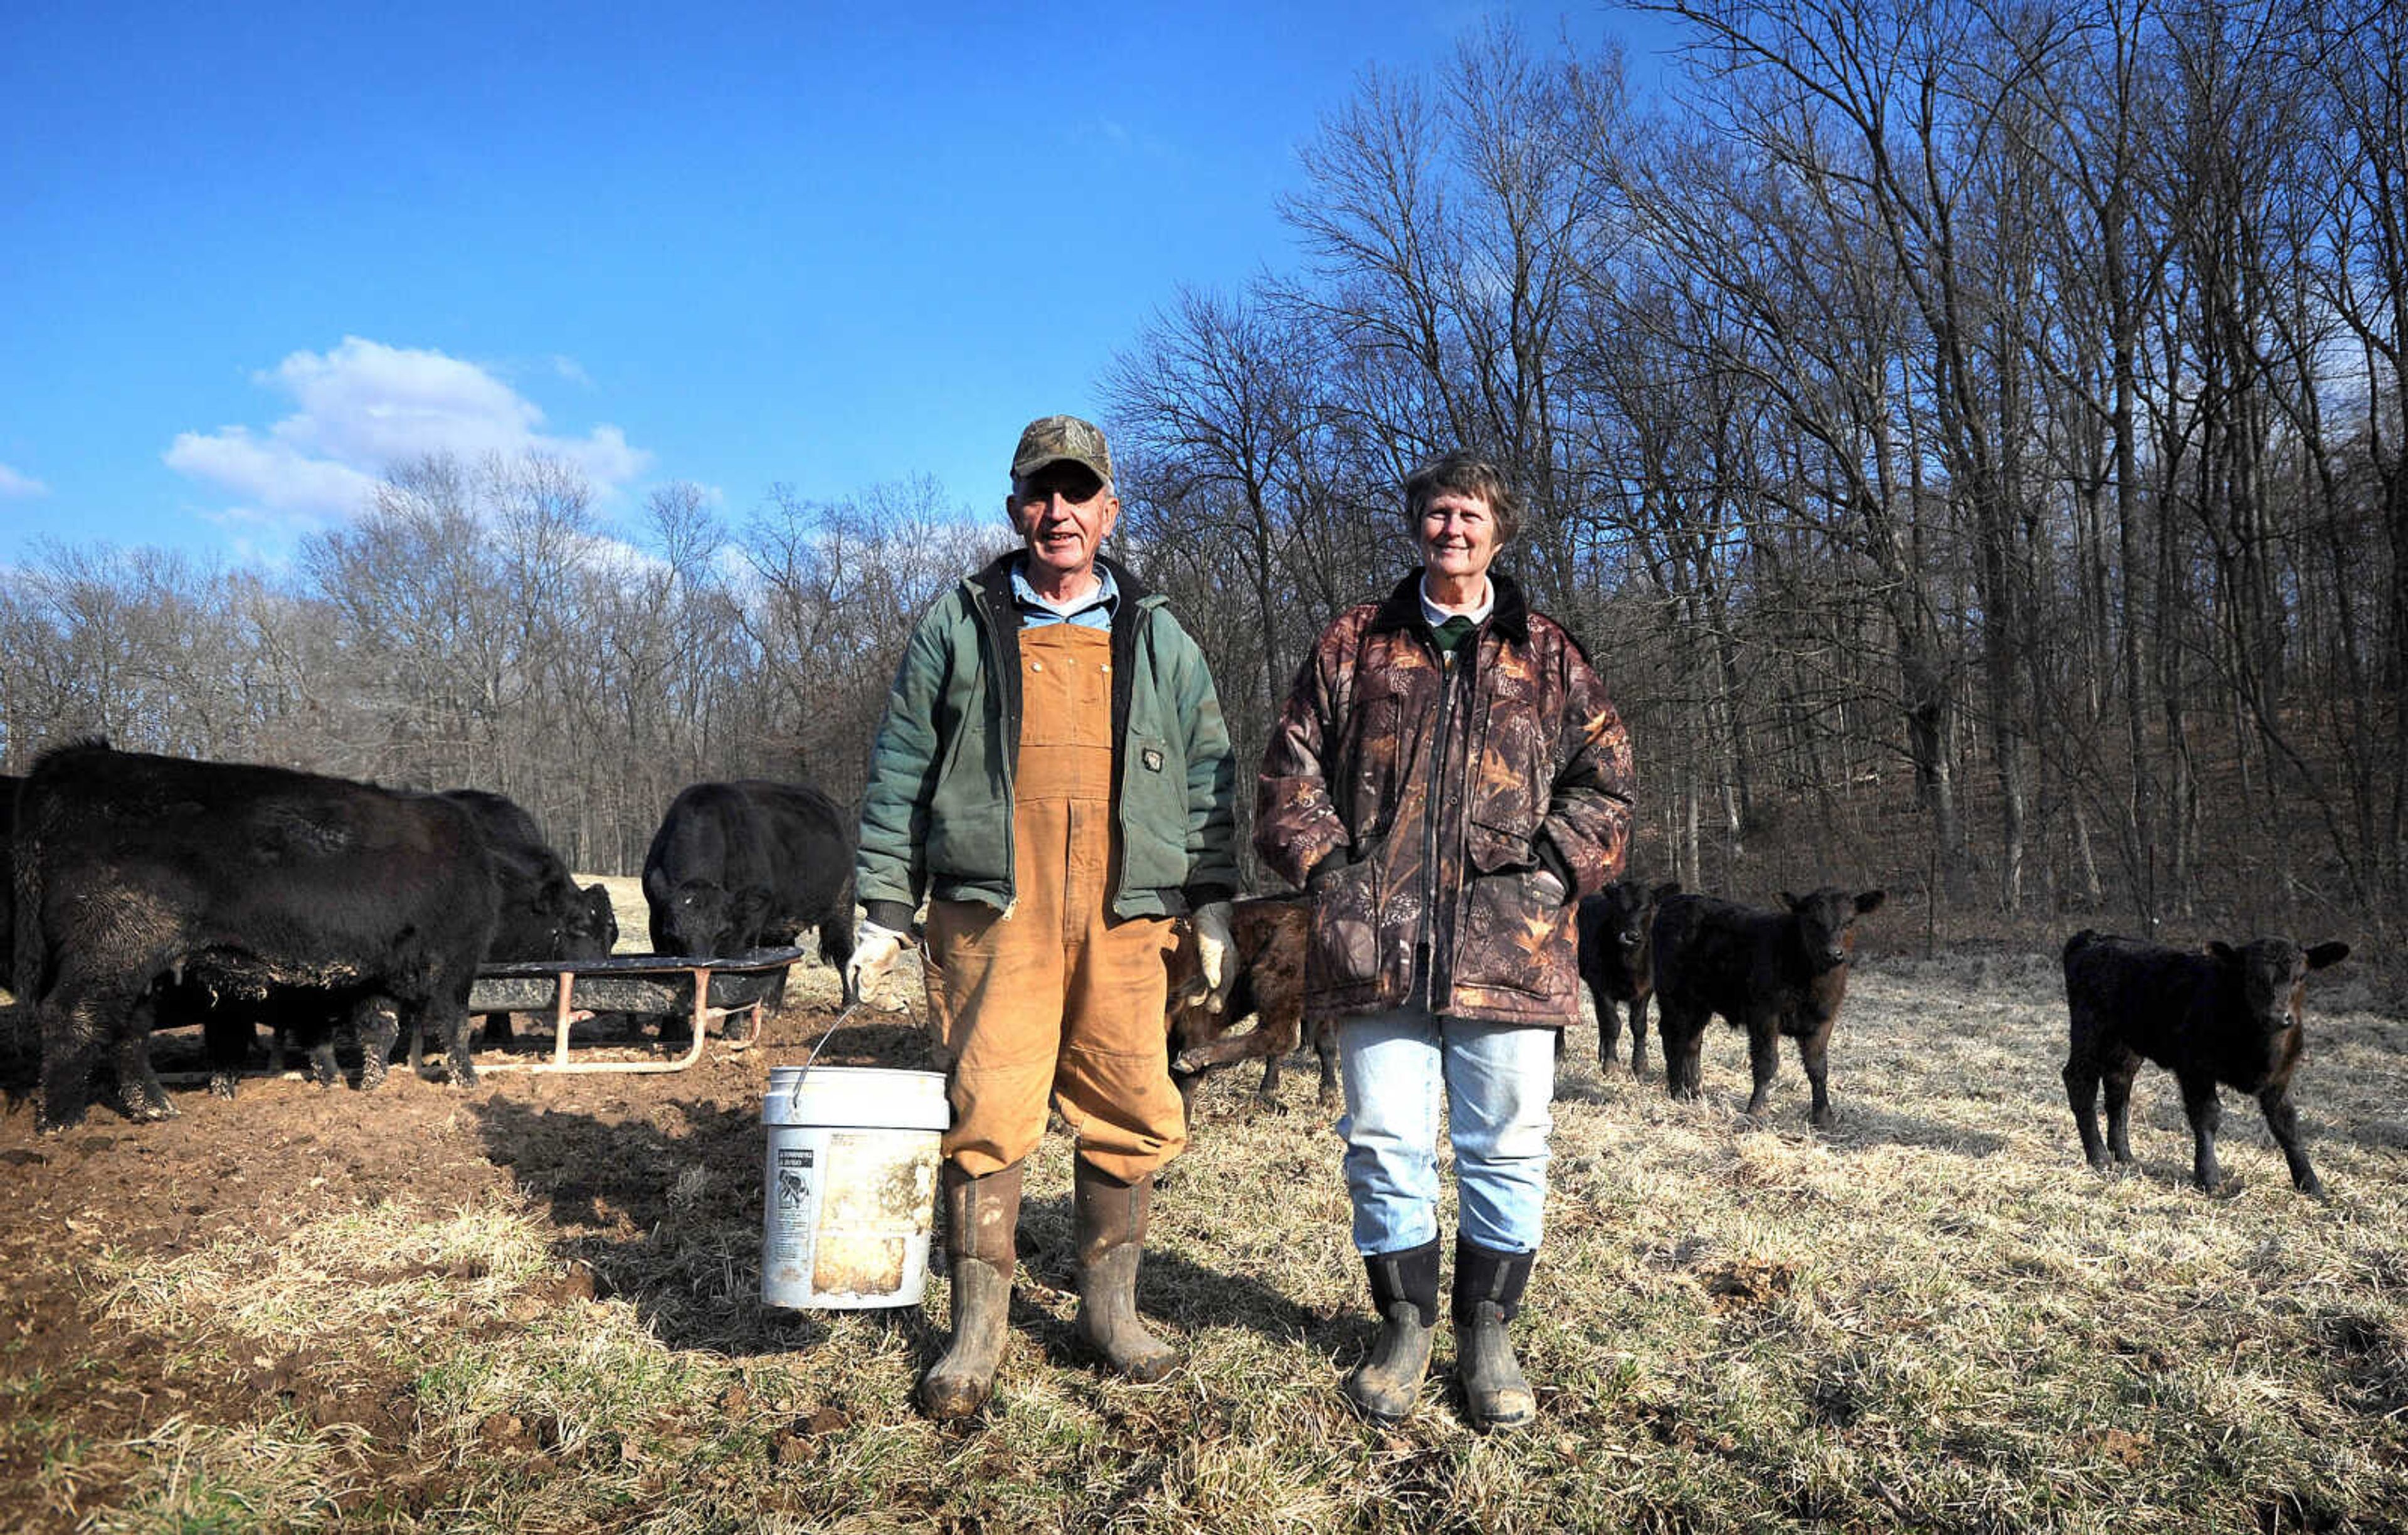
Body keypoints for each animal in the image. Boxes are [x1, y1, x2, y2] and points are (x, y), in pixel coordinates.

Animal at [7, 746, 498, 1131]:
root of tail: (78, 761)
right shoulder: (455, 957)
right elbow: (454, 1024)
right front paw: (469, 1084)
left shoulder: (379, 970)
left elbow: (379, 1029)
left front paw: (373, 1088)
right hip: (115, 947)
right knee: (73, 1017)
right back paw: (62, 1123)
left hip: (139, 967)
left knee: (128, 1030)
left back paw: (156, 1109)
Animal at [645, 779, 862, 986]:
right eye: (672, 935)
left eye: (723, 932)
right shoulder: (656, 920)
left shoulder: (747, 924)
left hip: (843, 898)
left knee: (843, 954)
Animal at [1570, 875, 1686, 1082]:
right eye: (1619, 907)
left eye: (1648, 907)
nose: (1631, 936)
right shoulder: (1602, 988)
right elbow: (1613, 1024)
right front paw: (1611, 1065)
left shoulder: (1646, 989)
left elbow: (1639, 1025)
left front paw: (1640, 1066)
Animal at [1656, 890, 1878, 1131]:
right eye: (1812, 921)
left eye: (1850, 922)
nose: (1833, 954)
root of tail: (1677, 900)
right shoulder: (1765, 1015)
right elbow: (1767, 1063)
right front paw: (1756, 1112)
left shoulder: (1824, 1020)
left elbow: (1818, 1068)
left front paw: (1824, 1117)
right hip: (1673, 995)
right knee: (1672, 1036)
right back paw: (1677, 1091)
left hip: (1700, 1003)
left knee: (1692, 1042)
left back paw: (1694, 1092)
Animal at [2051, 933, 2350, 1198]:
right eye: (2251, 977)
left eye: (2301, 977)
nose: (2278, 1017)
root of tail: (2095, 938)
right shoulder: (2195, 1068)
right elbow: (2208, 1115)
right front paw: (2208, 1177)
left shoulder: (2279, 1079)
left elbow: (2287, 1126)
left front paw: (2311, 1184)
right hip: (2090, 1031)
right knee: (2080, 1081)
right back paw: (2099, 1157)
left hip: (2126, 1046)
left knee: (2118, 1088)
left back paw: (2124, 1156)